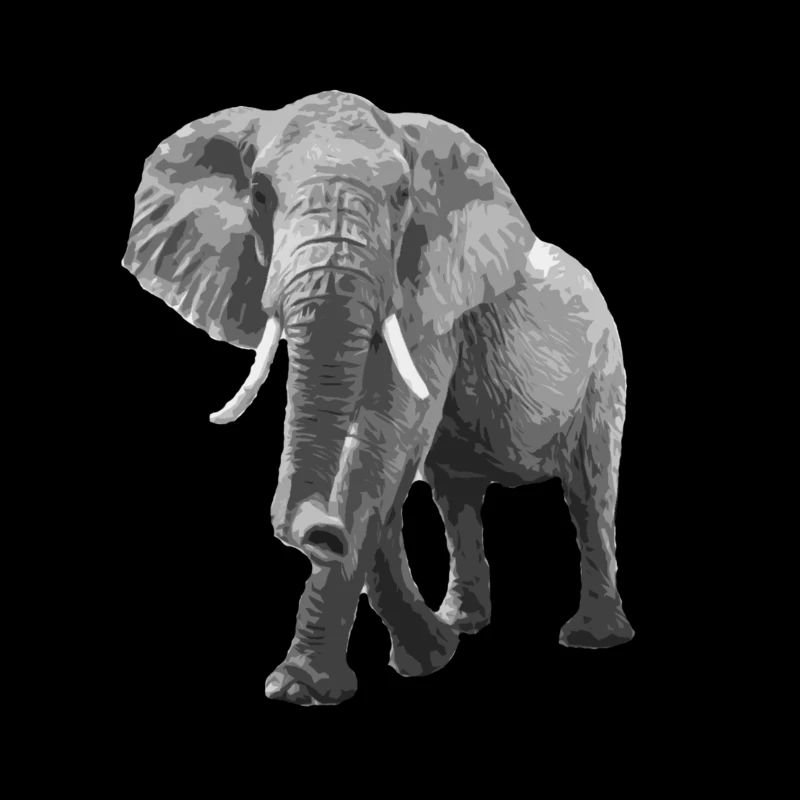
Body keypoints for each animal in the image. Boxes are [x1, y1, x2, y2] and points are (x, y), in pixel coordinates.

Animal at [122, 90, 634, 706]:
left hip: (604, 369)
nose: (321, 532)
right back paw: (462, 623)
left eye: (402, 196)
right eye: (260, 194)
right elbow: (376, 459)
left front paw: (298, 690)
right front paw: (430, 656)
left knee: (589, 486)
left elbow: (384, 444)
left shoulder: (432, 308)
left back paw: (592, 638)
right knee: (455, 497)